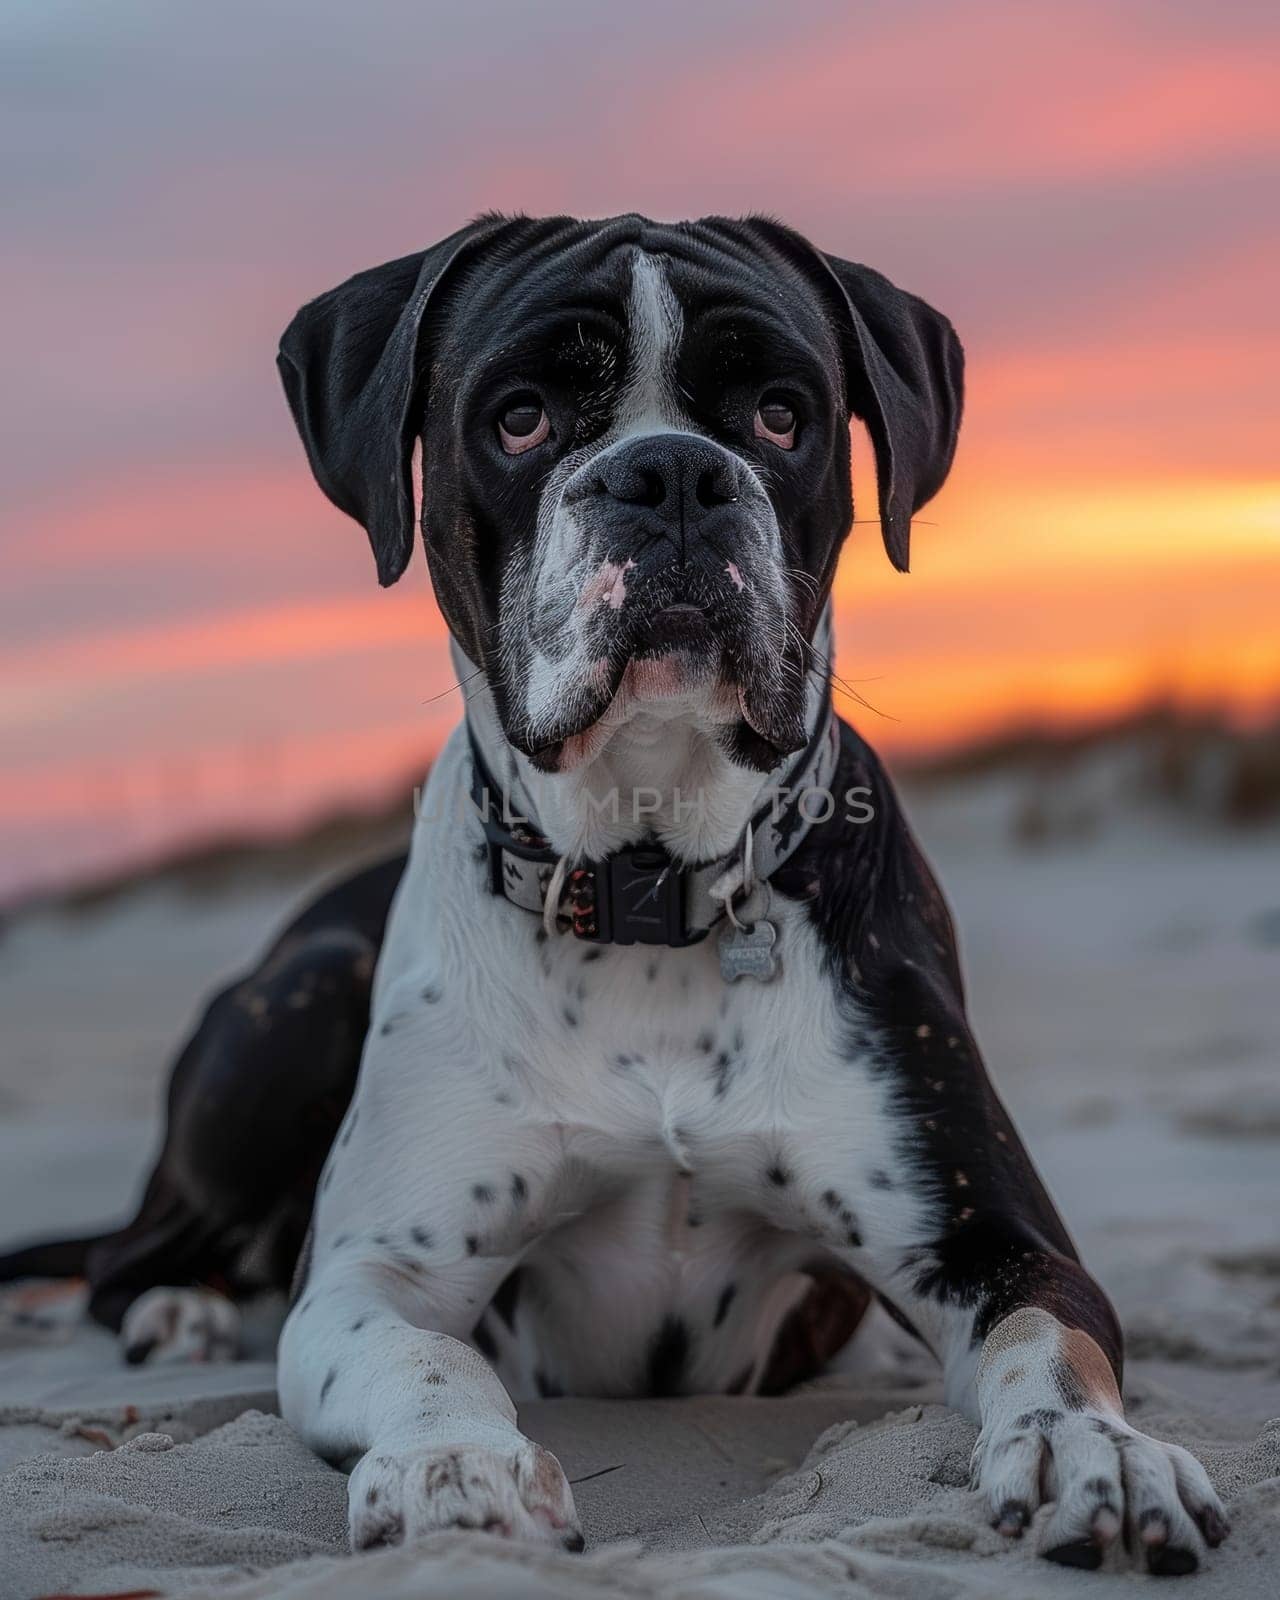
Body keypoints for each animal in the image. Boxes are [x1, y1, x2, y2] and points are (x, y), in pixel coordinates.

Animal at [2, 212, 1228, 1574]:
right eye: (521, 418)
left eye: (781, 415)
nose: (672, 475)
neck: (648, 883)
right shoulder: (372, 1278)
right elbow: (426, 1360)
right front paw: (452, 1465)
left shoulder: (987, 1237)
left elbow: (1047, 1346)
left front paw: (1093, 1450)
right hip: (302, 996)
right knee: (129, 1253)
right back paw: (177, 1307)